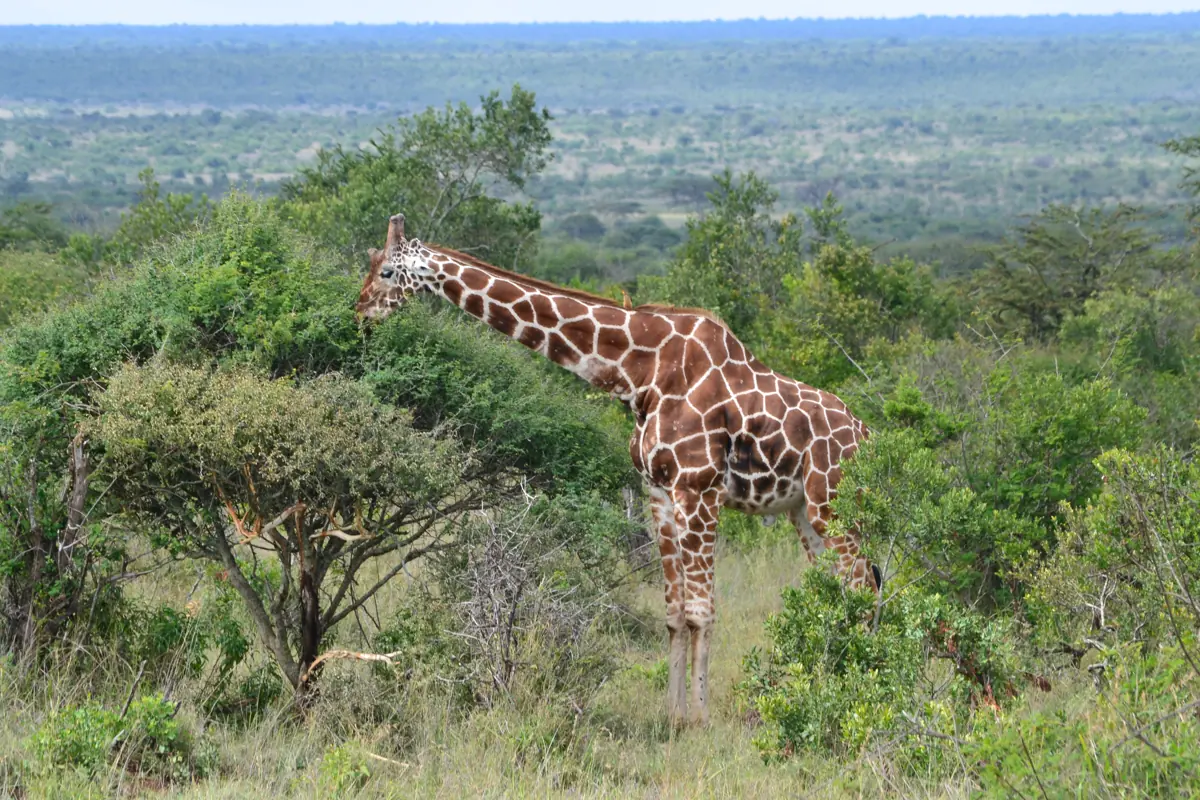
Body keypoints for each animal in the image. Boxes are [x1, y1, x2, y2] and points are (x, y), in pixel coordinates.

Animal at [357, 214, 881, 726]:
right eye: (372, 264)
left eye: (387, 272)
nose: (360, 311)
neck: (639, 373)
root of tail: (868, 436)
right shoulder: (659, 492)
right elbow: (673, 612)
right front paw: (673, 716)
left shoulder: (698, 490)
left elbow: (701, 611)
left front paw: (702, 720)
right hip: (802, 511)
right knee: (840, 592)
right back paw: (829, 684)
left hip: (833, 507)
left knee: (864, 588)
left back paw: (860, 691)